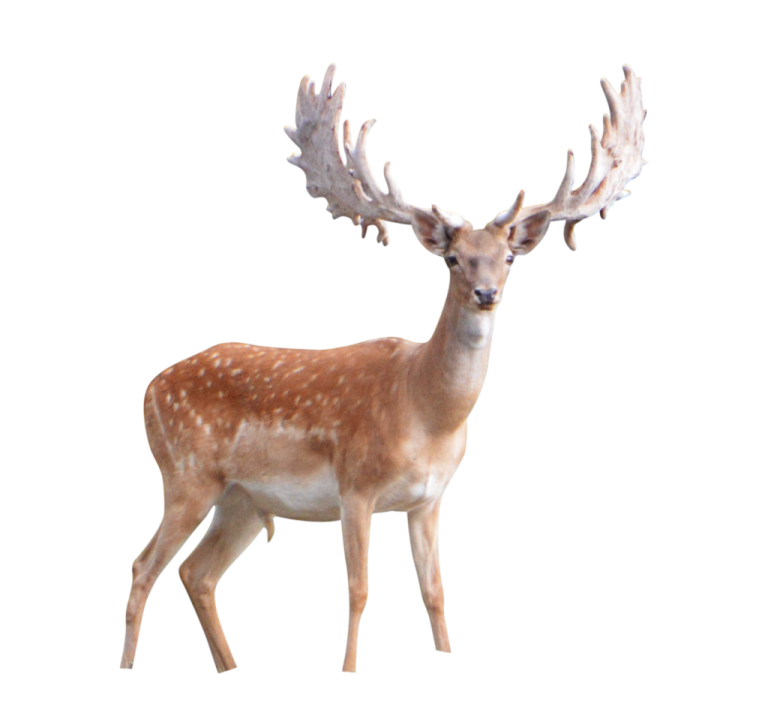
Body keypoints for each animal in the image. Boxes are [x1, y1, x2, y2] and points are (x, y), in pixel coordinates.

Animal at [119, 61, 649, 674]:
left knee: (196, 573)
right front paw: (348, 667)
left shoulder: (429, 498)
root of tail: (150, 388)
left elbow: (435, 592)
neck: (424, 411)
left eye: (509, 258)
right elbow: (359, 590)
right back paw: (129, 663)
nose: (486, 293)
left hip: (244, 500)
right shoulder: (355, 486)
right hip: (186, 474)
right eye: (452, 259)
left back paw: (229, 665)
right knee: (145, 565)